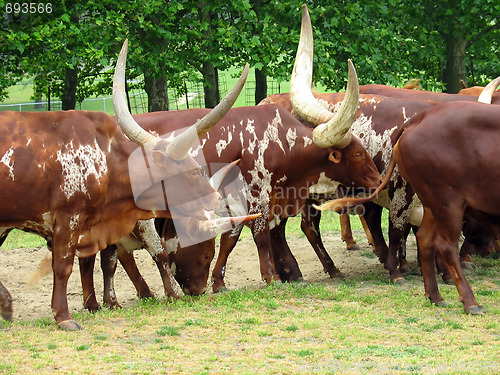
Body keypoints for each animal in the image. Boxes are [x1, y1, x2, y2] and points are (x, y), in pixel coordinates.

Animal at [0, 39, 250, 330]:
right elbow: (65, 266)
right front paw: (64, 316)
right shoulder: (68, 219)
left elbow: (107, 261)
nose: (213, 198)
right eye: (192, 172)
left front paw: (107, 302)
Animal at [316, 100, 500, 314]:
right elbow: (397, 231)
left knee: (421, 237)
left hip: (433, 205)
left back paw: (434, 292)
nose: (489, 249)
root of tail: (416, 121)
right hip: (446, 202)